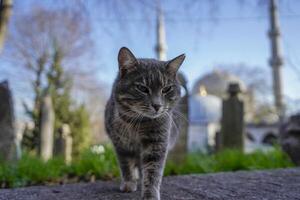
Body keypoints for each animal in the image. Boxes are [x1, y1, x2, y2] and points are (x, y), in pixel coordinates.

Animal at [105, 47, 185, 200]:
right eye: (142, 88)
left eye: (166, 89)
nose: (157, 105)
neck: (137, 123)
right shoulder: (121, 144)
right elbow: (126, 165)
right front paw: (129, 183)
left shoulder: (157, 143)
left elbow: (153, 171)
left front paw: (150, 194)